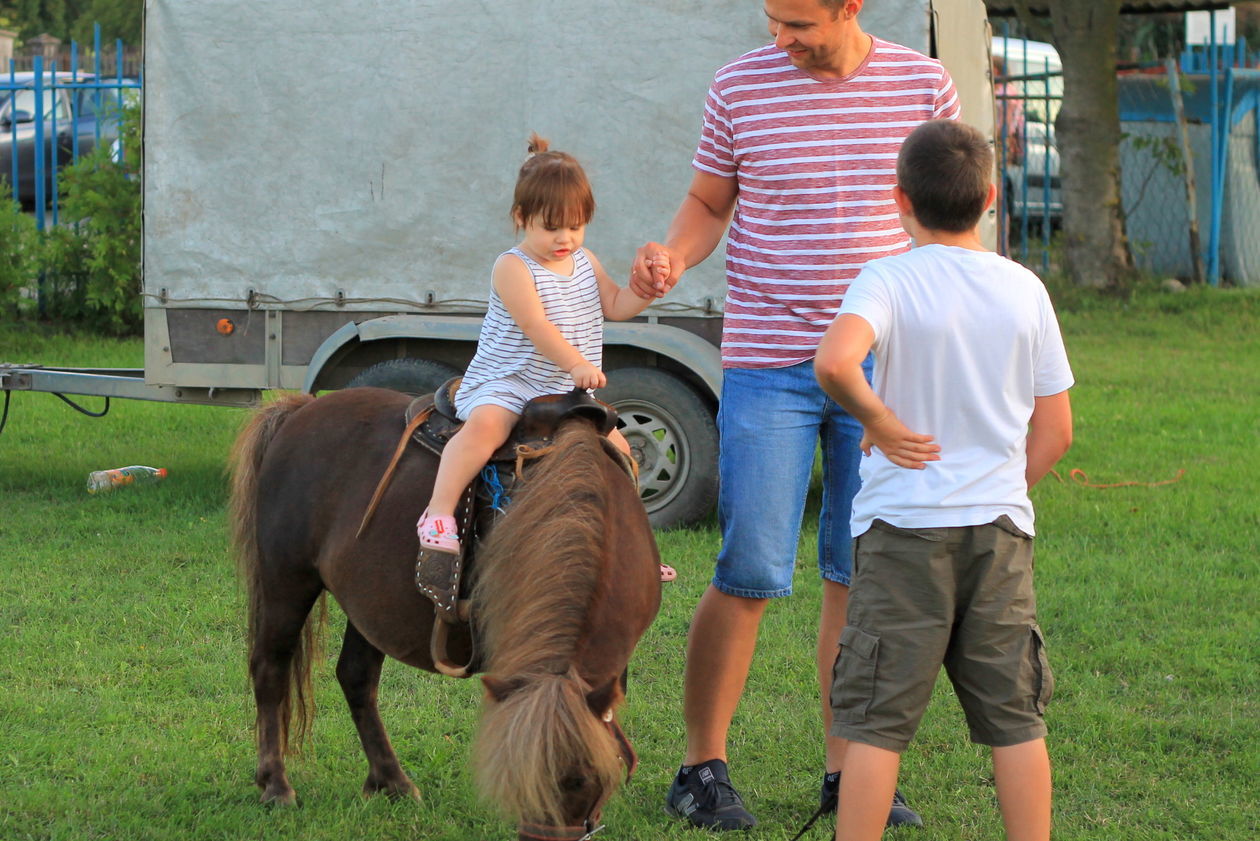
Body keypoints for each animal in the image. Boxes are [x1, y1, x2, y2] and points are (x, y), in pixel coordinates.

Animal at [229, 388, 660, 841]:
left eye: (580, 780)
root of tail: (300, 409)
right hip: (287, 581)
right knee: (270, 670)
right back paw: (276, 784)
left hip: (370, 602)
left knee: (356, 678)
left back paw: (392, 781)